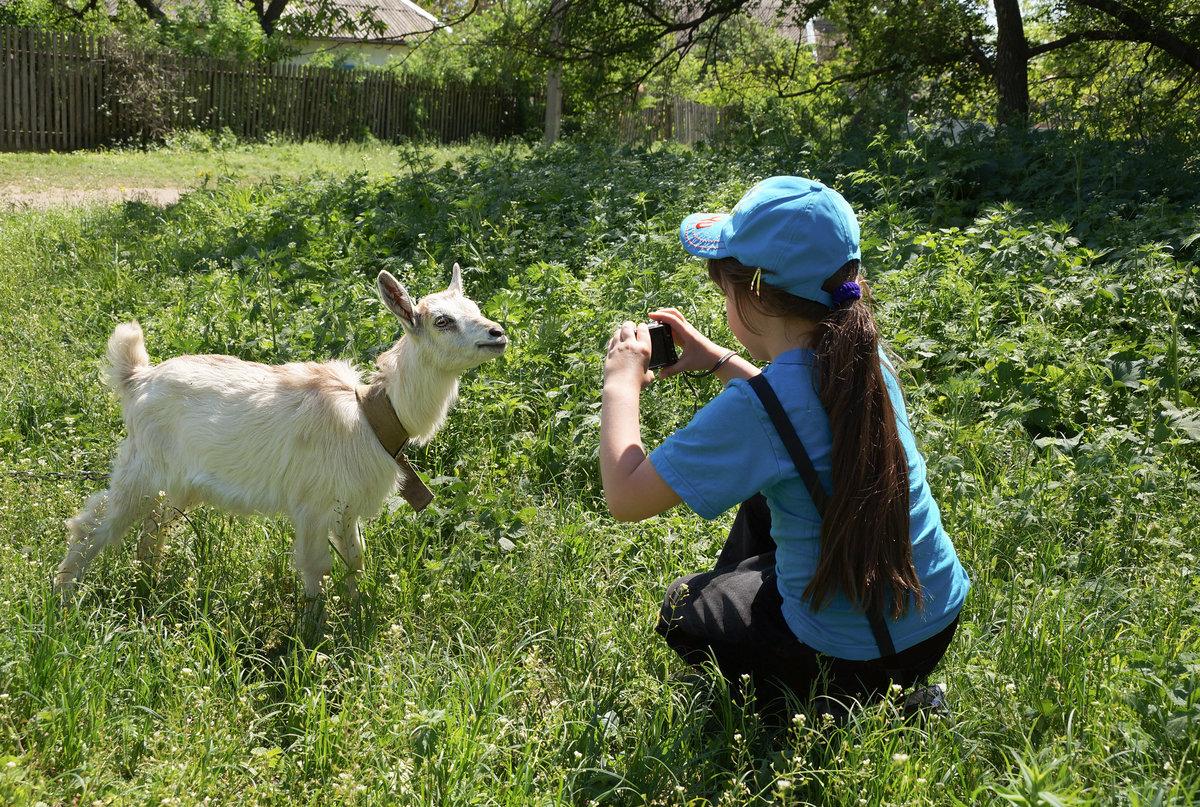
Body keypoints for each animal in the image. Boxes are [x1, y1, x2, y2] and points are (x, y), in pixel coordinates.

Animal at [54, 264, 506, 605]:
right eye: (442, 321)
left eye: (475, 307)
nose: (498, 333)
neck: (370, 415)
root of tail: (137, 378)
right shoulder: (312, 505)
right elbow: (315, 568)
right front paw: (313, 636)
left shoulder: (346, 505)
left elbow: (355, 559)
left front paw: (356, 611)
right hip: (141, 466)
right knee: (92, 523)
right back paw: (64, 602)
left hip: (178, 482)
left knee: (154, 527)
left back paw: (149, 585)